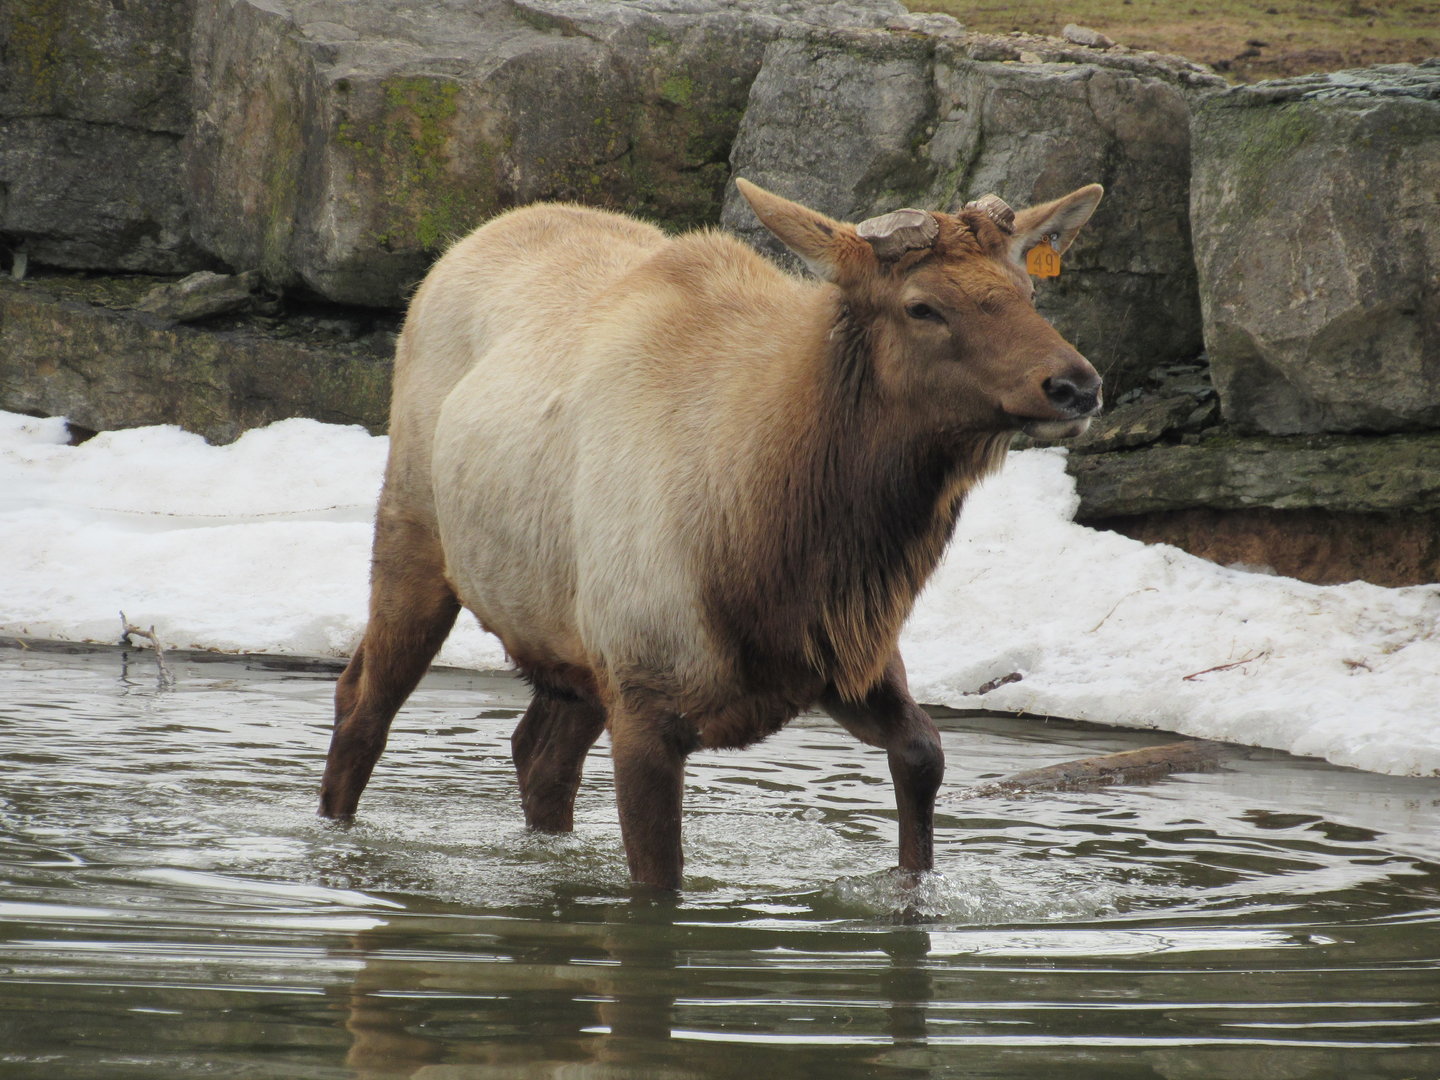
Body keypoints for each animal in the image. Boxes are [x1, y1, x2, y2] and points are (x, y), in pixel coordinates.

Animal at [319, 178, 1104, 890]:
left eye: (1026, 291)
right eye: (922, 305)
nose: (1077, 385)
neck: (765, 545)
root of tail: (457, 249)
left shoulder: (843, 655)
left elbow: (923, 755)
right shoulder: (644, 699)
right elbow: (659, 885)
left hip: (571, 645)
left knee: (537, 752)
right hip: (413, 537)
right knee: (362, 703)